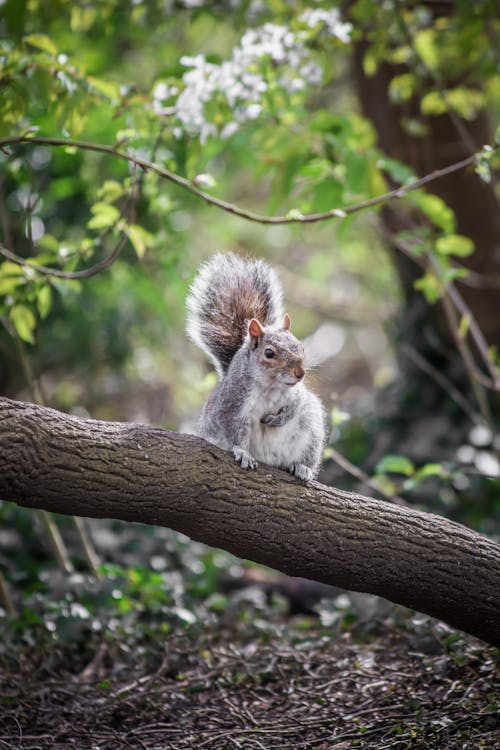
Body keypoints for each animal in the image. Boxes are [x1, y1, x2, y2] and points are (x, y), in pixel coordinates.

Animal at [186, 256, 326, 484]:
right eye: (269, 353)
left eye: (301, 346)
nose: (300, 373)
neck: (271, 386)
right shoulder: (232, 404)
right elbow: (235, 430)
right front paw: (243, 453)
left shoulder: (296, 394)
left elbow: (295, 406)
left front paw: (277, 419)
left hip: (312, 430)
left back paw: (302, 467)